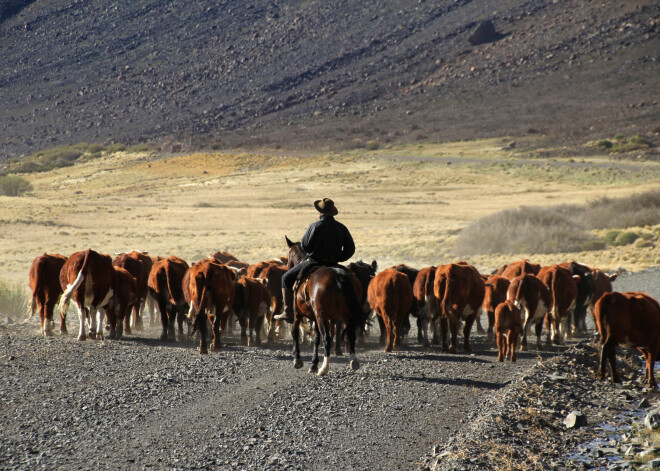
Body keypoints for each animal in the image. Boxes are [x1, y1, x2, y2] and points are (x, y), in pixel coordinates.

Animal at [284, 236, 366, 376]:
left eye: (289, 255)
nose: (288, 265)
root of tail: (338, 277)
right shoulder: (315, 317)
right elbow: (316, 338)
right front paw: (313, 364)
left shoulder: (298, 312)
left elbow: (295, 331)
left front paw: (298, 360)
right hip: (345, 314)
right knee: (350, 334)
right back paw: (353, 361)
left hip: (321, 316)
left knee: (327, 338)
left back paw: (324, 368)